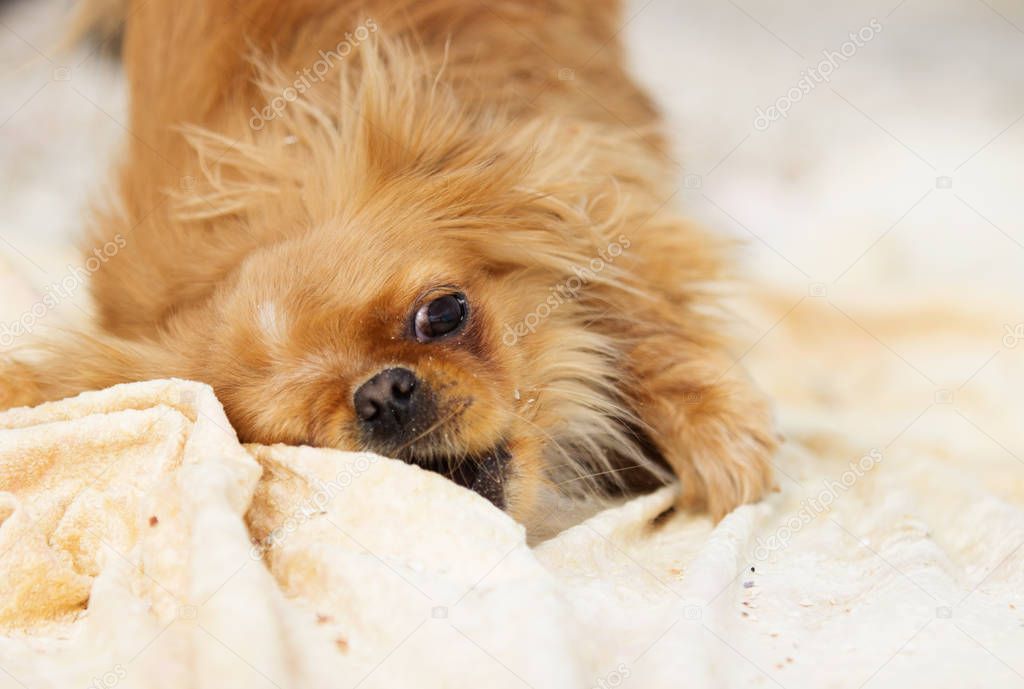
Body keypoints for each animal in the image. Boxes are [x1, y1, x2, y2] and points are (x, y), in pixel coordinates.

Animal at [4, 0, 778, 528]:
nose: (381, 393)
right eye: (292, 439)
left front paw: (714, 438)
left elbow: (641, 316)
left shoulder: (586, 175)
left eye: (444, 313)